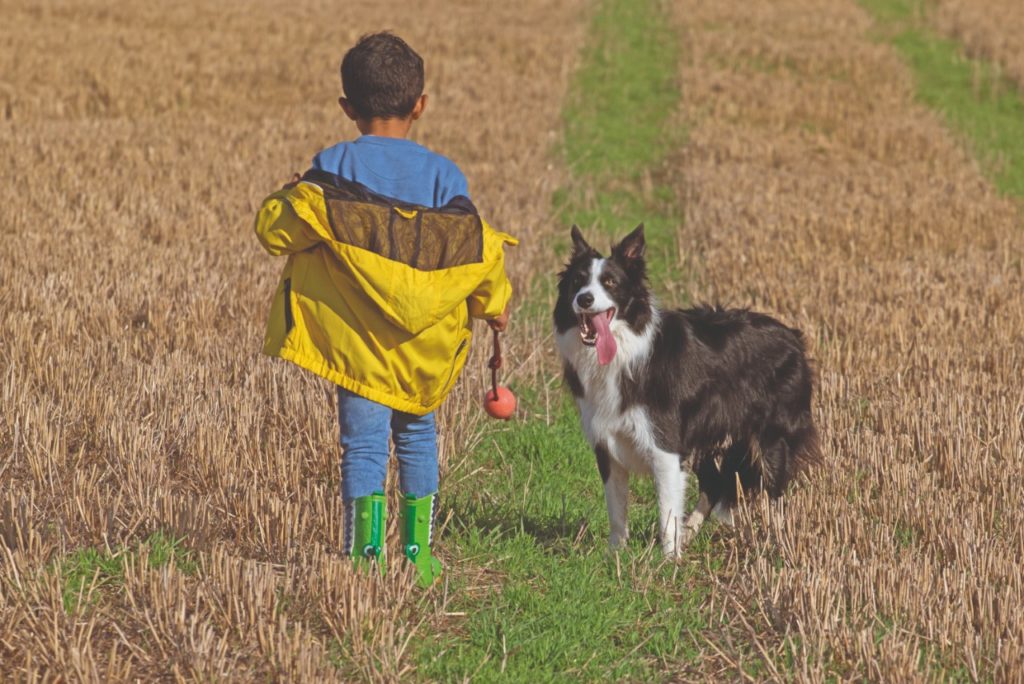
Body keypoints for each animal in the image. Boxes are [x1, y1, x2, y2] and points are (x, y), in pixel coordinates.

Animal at [557, 224, 819, 557]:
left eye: (610, 282)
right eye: (577, 281)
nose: (585, 299)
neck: (626, 349)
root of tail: (794, 337)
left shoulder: (665, 446)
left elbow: (666, 512)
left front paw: (668, 560)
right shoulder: (606, 443)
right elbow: (616, 510)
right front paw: (615, 555)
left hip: (771, 438)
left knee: (774, 493)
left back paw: (778, 543)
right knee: (715, 483)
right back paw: (692, 531)